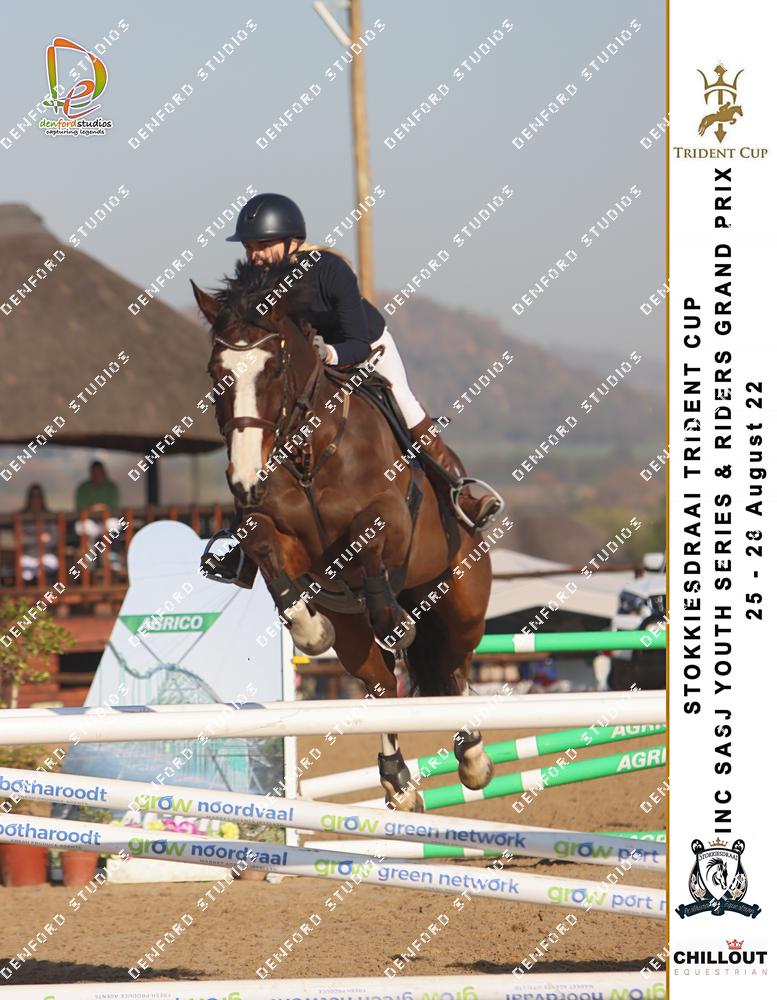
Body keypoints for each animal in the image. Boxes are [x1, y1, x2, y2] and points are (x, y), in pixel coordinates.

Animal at [191, 258, 497, 811]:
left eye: (272, 369)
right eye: (215, 373)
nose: (245, 479)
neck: (310, 451)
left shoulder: (390, 517)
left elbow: (368, 539)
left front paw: (394, 622)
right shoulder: (275, 534)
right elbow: (264, 547)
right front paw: (310, 630)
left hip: (462, 600)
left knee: (454, 669)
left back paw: (473, 757)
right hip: (354, 631)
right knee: (381, 684)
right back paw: (399, 782)